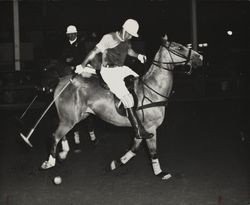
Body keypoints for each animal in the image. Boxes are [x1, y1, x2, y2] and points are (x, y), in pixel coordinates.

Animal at [41, 35, 202, 179]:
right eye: (179, 48)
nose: (200, 57)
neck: (152, 89)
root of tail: (61, 81)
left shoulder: (141, 130)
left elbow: (133, 149)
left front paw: (116, 163)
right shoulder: (150, 128)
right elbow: (152, 152)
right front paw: (160, 173)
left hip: (76, 116)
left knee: (61, 134)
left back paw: (63, 152)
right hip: (69, 118)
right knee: (55, 135)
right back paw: (50, 162)